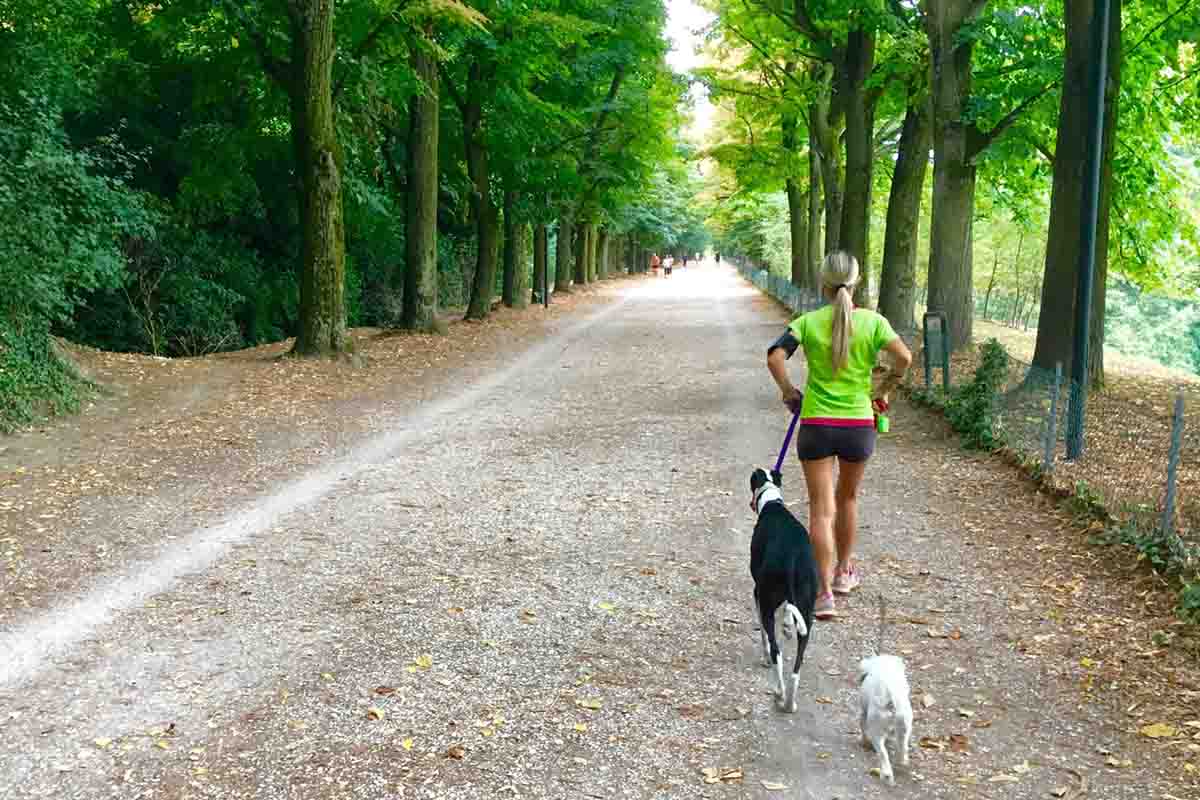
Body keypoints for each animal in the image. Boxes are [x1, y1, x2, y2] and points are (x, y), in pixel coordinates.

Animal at [744, 470, 820, 714]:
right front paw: (787, 625)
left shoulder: (757, 594)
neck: (773, 503)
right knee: (797, 665)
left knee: (776, 652)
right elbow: (788, 609)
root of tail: (791, 558)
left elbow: (764, 635)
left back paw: (779, 691)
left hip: (767, 600)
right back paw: (789, 702)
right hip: (807, 614)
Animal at [859, 652, 912, 786]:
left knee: (883, 754)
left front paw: (863, 741)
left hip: (876, 729)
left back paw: (887, 774)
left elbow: (862, 727)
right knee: (902, 746)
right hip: (904, 727)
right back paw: (902, 761)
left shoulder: (863, 713)